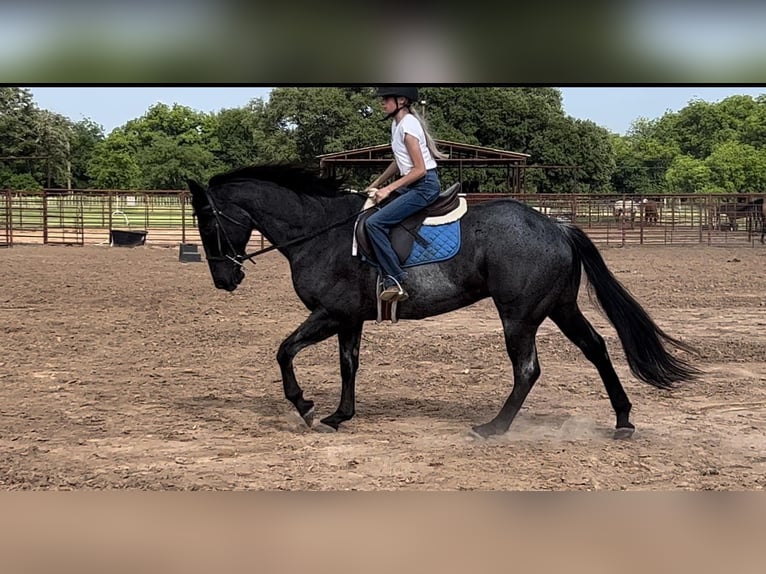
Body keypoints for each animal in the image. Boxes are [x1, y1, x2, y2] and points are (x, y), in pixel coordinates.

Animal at [188, 165, 704, 440]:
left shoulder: (330, 313)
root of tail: (556, 225)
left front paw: (304, 405)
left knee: (528, 369)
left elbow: (285, 351)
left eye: (208, 223)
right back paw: (623, 420)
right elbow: (348, 364)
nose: (223, 279)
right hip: (559, 306)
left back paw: (494, 427)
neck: (321, 234)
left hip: (519, 314)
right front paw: (339, 415)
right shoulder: (349, 318)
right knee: (596, 348)